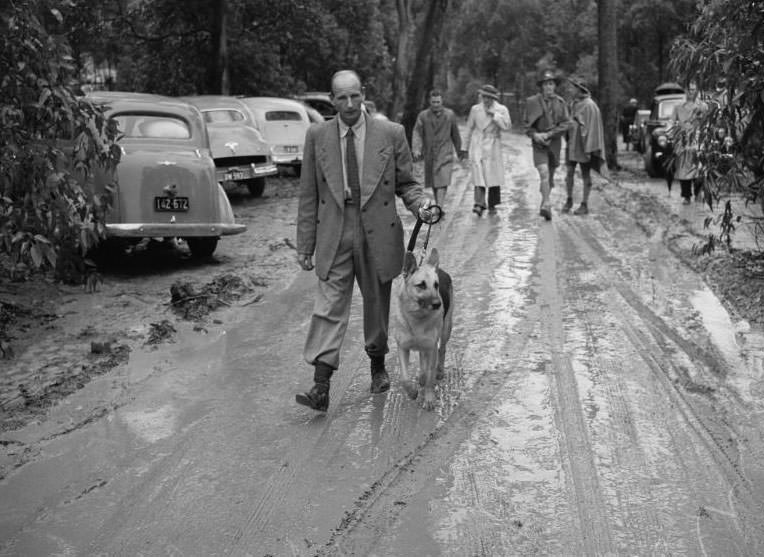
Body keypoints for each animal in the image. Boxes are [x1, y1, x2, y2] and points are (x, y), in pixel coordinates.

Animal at [394, 248, 454, 408]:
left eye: (436, 285)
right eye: (421, 285)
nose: (438, 304)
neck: (416, 318)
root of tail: (440, 269)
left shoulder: (431, 348)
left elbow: (429, 376)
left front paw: (429, 398)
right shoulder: (403, 348)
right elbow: (404, 378)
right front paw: (412, 392)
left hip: (446, 330)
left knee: (442, 350)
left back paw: (439, 371)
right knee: (423, 360)